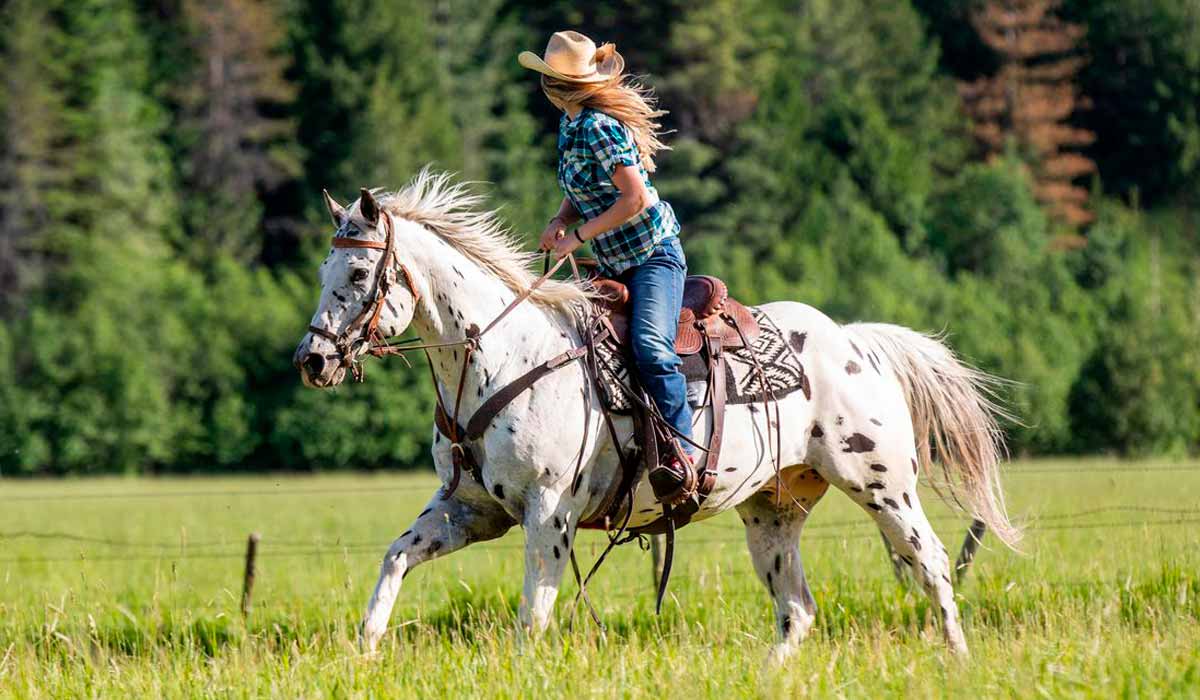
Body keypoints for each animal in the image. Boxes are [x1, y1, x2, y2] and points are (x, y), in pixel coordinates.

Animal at [295, 168, 1017, 657]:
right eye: (325, 269)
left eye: (357, 275)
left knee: (933, 568)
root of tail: (855, 342)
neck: (504, 354)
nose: (313, 360)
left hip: (883, 488)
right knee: (798, 609)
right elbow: (395, 559)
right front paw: (365, 650)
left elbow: (533, 615)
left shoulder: (548, 512)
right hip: (773, 512)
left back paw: (956, 660)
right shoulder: (472, 510)